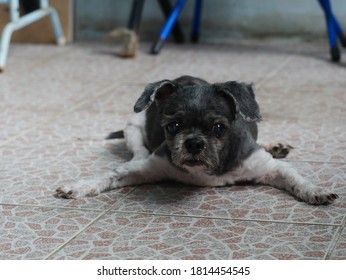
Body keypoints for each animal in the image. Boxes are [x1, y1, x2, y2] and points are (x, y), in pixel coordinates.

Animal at [56, 75, 338, 205]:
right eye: (173, 126)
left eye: (219, 128)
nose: (193, 143)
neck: (207, 171)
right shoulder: (148, 167)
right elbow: (109, 176)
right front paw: (79, 187)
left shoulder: (268, 166)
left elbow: (296, 179)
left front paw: (315, 191)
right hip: (133, 127)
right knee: (137, 151)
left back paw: (275, 145)